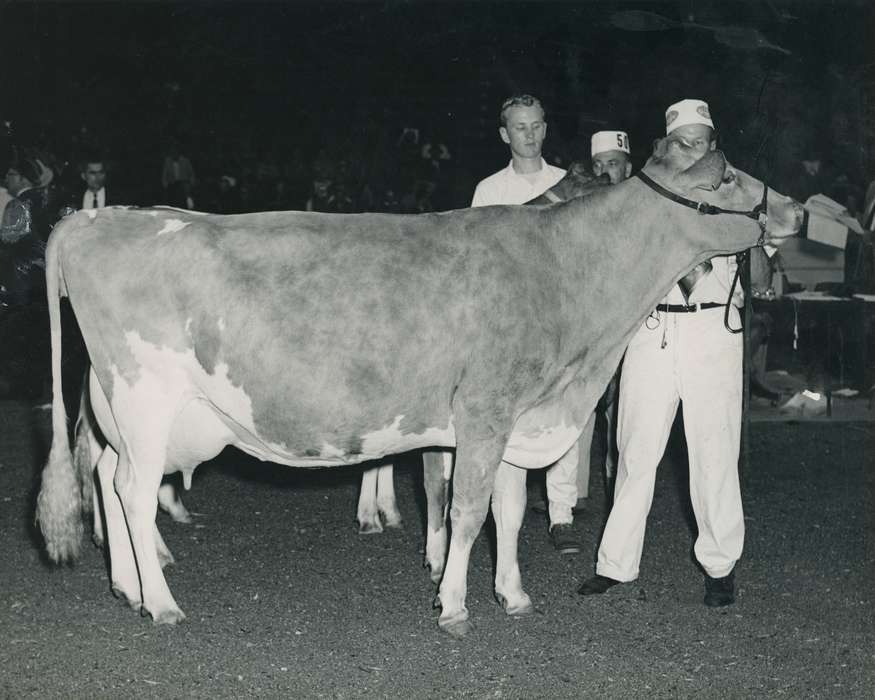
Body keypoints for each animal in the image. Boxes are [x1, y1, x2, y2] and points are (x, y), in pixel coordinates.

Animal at [36, 139, 802, 637]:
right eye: (725, 176)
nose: (792, 211)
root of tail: (97, 216)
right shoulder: (486, 410)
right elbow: (465, 512)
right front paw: (455, 605)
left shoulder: (509, 417)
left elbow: (507, 513)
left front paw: (512, 594)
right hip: (144, 397)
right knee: (132, 491)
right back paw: (161, 603)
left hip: (125, 408)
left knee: (106, 476)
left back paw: (127, 587)